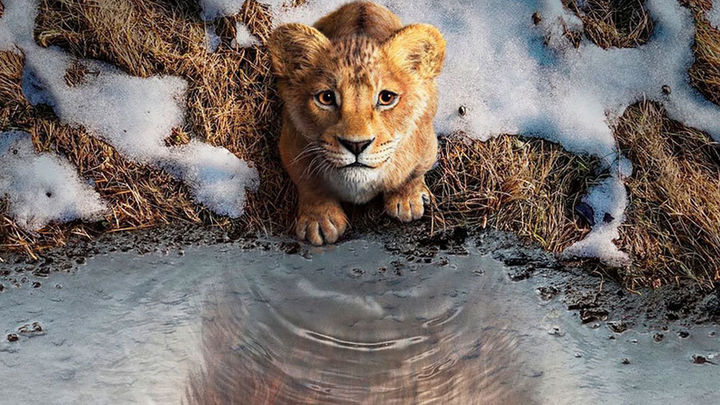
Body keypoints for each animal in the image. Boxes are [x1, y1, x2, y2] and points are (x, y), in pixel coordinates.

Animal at [268, 1, 446, 245]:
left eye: (386, 98)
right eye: (326, 98)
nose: (356, 145)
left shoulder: (426, 145)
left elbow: (413, 173)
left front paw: (407, 200)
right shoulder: (291, 144)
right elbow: (309, 183)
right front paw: (319, 221)